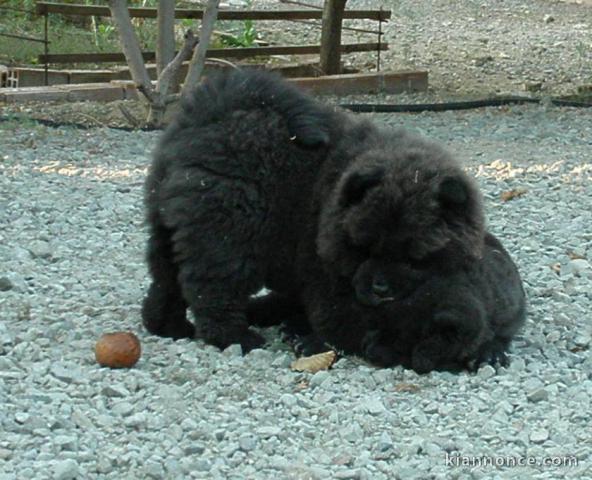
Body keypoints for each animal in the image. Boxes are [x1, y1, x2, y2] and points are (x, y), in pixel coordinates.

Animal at [143, 68, 486, 352]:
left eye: (414, 257)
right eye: (364, 249)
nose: (380, 287)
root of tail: (207, 116)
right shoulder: (324, 272)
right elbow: (338, 314)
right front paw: (323, 342)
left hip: (166, 224)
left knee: (166, 278)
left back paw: (167, 326)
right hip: (230, 236)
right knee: (211, 289)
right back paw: (235, 338)